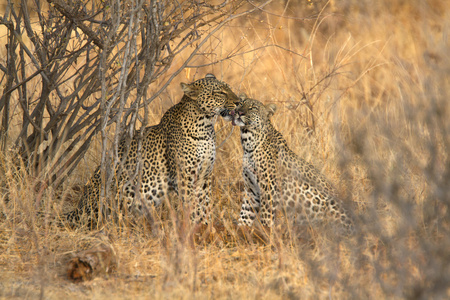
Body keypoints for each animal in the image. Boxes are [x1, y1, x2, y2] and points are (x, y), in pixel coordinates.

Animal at [66, 74, 239, 227]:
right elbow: (193, 206)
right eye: (220, 92)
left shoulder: (205, 175)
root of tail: (78, 208)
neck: (205, 126)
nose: (238, 102)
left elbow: (205, 204)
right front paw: (197, 229)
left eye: (229, 88)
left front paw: (208, 228)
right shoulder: (183, 176)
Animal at [230, 96, 354, 234]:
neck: (248, 141)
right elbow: (245, 213)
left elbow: (266, 216)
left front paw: (267, 233)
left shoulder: (269, 188)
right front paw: (240, 230)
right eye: (240, 104)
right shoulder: (252, 189)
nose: (239, 112)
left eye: (253, 108)